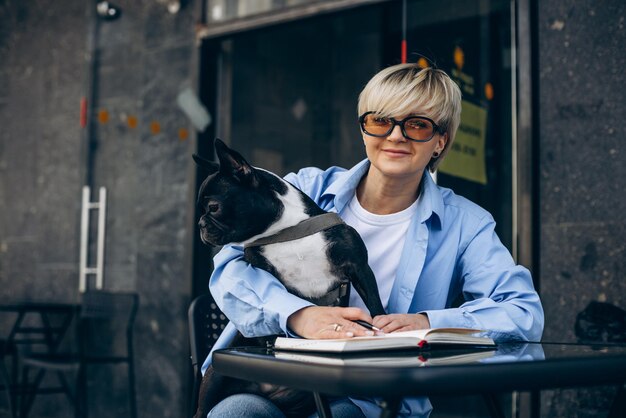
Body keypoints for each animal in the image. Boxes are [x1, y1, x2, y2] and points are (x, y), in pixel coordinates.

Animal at [193, 139, 382, 416]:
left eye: (213, 208)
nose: (200, 224)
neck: (288, 231)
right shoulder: (257, 266)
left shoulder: (359, 267)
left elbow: (376, 305)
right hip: (215, 377)